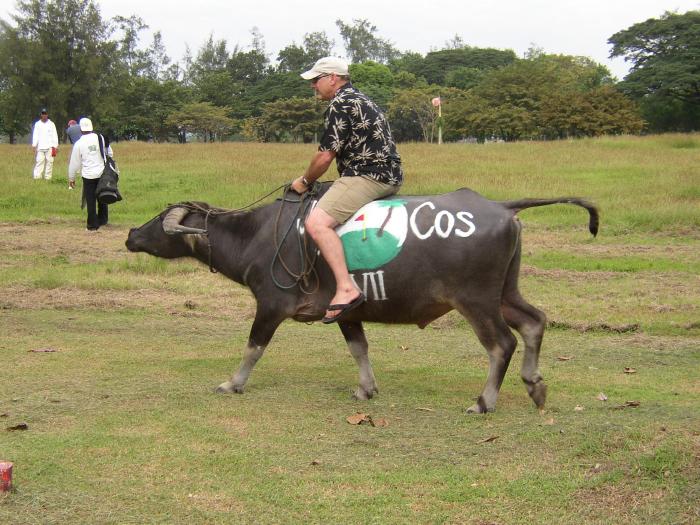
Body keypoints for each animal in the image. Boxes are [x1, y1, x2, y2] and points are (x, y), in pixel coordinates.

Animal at [126, 185, 596, 414]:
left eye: (159, 218)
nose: (131, 234)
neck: (257, 235)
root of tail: (498, 206)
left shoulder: (270, 306)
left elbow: (254, 347)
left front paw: (232, 383)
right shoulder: (345, 311)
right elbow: (359, 348)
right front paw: (366, 389)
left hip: (476, 299)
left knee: (502, 343)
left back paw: (484, 402)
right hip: (505, 291)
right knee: (534, 321)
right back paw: (535, 384)